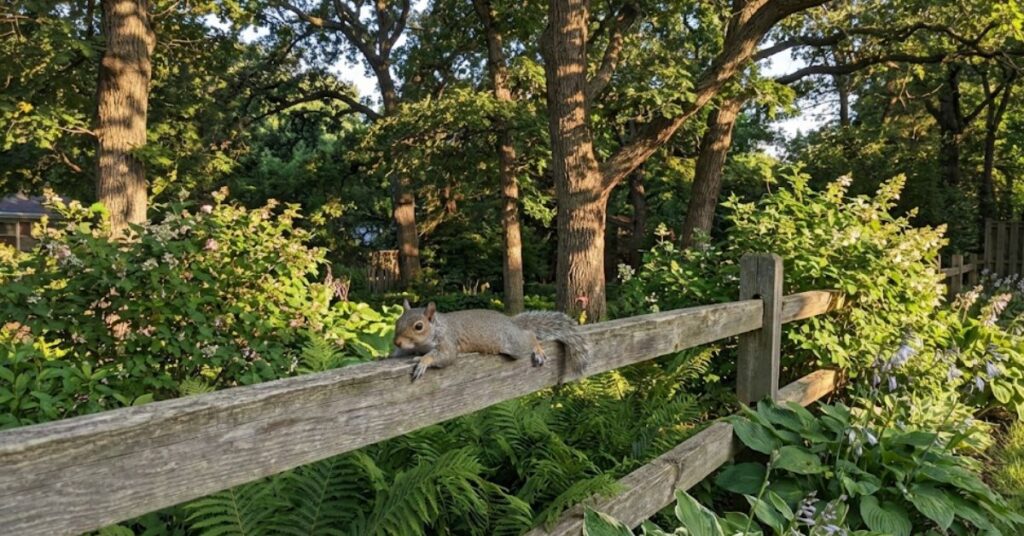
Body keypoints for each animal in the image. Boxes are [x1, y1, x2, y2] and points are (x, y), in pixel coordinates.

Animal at [389, 299, 590, 381]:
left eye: (419, 326)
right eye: (397, 321)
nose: (396, 342)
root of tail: (512, 322)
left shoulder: (448, 340)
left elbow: (446, 356)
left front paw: (423, 360)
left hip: (514, 344)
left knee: (530, 336)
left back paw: (537, 349)